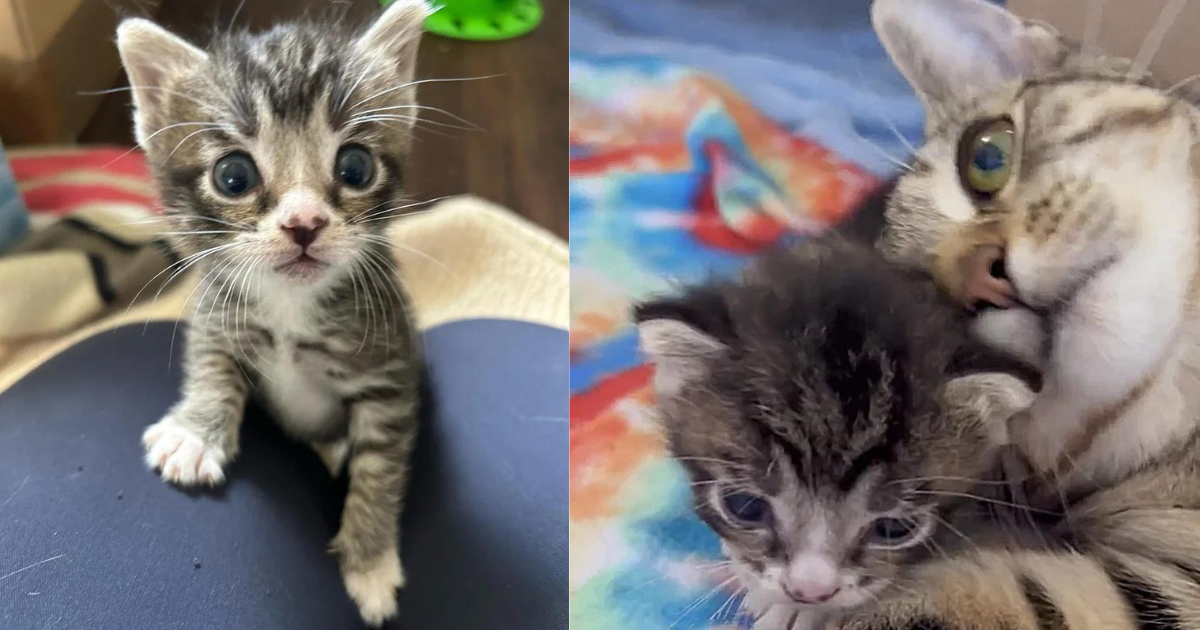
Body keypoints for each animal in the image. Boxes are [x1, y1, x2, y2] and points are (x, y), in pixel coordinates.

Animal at [113, 0, 432, 619]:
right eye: (233, 176)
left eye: (355, 168)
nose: (303, 223)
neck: (291, 305)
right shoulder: (215, 310)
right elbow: (212, 364)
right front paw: (196, 433)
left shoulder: (389, 373)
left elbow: (379, 469)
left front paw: (370, 561)